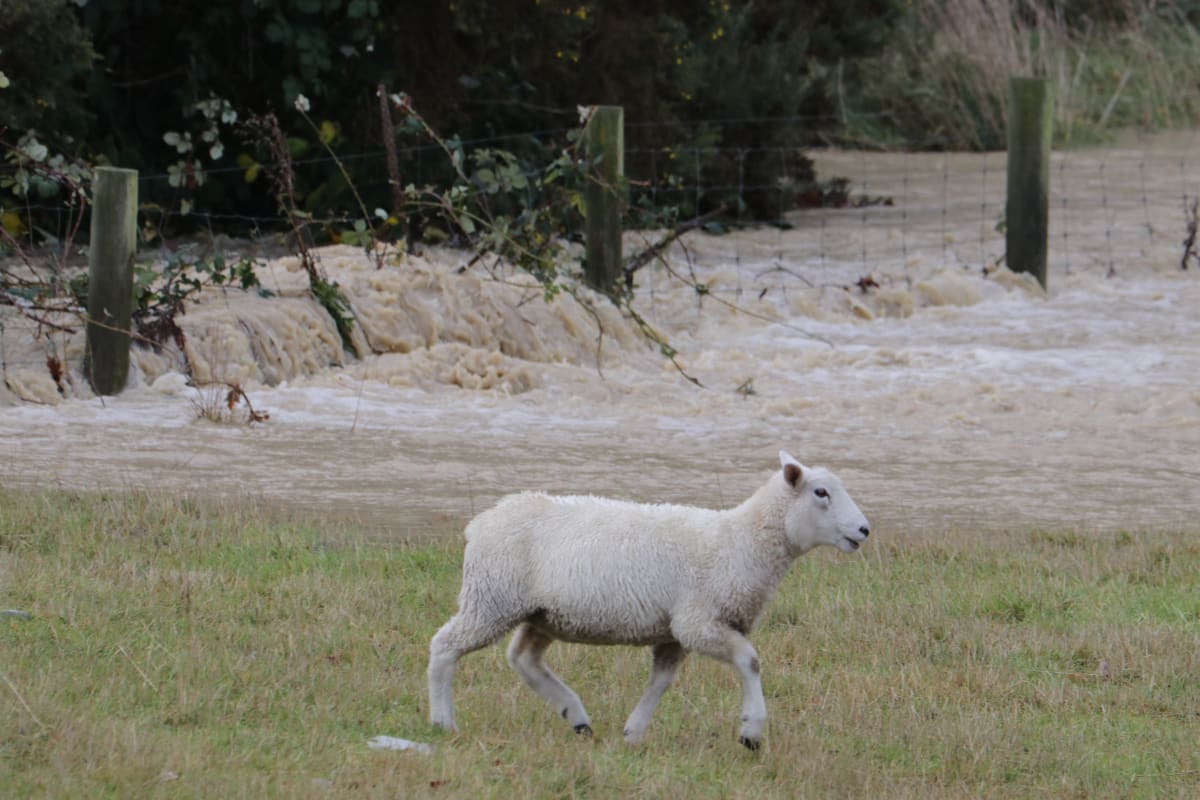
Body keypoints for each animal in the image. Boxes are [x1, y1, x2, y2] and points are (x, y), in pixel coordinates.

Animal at [427, 450, 868, 753]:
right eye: (821, 492)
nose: (864, 530)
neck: (740, 542)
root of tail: (480, 522)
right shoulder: (698, 620)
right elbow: (750, 660)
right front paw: (751, 731)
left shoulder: (674, 632)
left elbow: (661, 680)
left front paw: (634, 732)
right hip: (492, 598)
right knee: (445, 646)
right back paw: (443, 722)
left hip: (542, 613)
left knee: (524, 658)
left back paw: (576, 717)